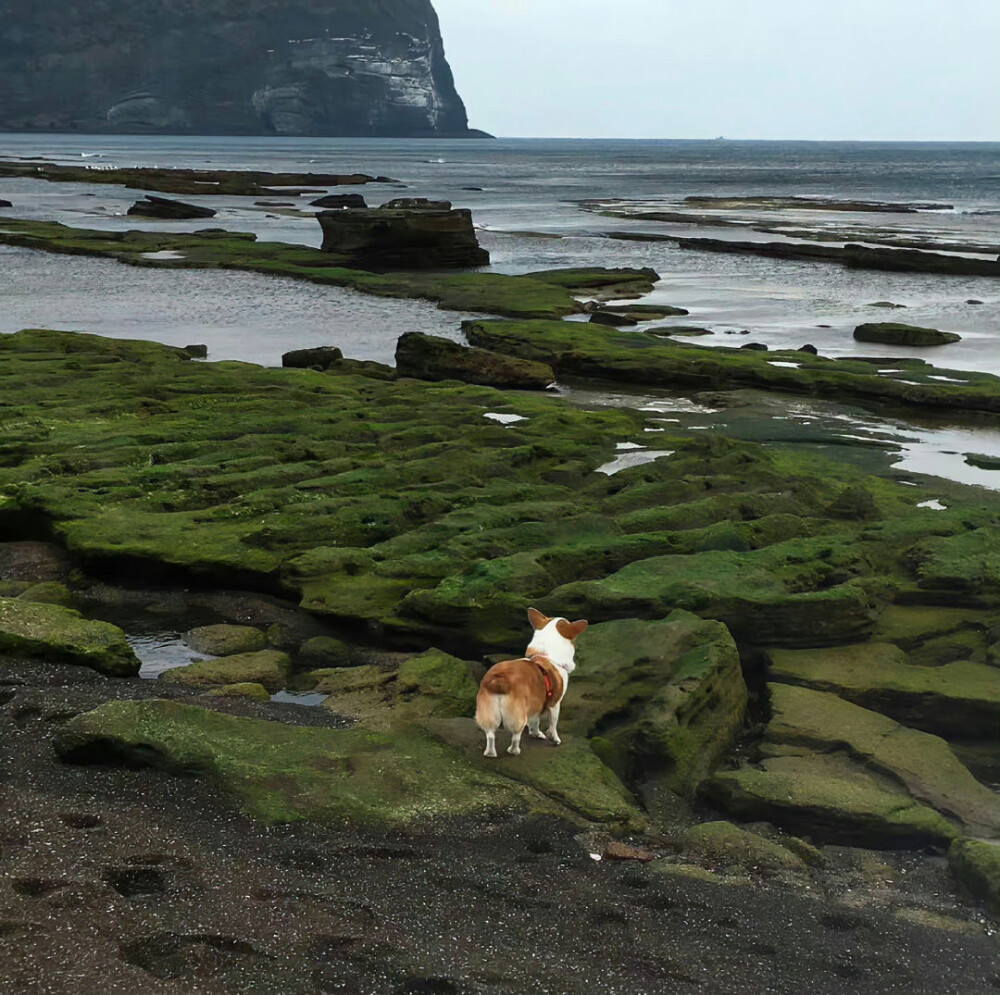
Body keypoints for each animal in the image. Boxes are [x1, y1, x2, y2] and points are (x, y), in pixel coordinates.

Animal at [474, 608, 584, 764]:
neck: (547, 656)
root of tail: (500, 680)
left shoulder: (535, 705)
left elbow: (534, 723)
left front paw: (536, 733)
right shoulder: (555, 704)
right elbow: (553, 724)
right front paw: (555, 739)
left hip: (488, 710)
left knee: (490, 733)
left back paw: (490, 753)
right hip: (518, 715)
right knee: (515, 736)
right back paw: (514, 751)